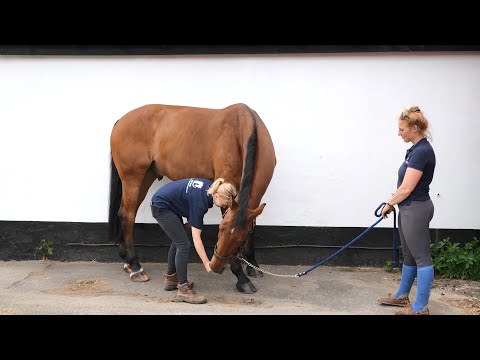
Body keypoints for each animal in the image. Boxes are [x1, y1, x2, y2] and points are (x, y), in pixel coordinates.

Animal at [107, 102, 276, 294]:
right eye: (220, 230)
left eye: (241, 239)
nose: (215, 266)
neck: (242, 129)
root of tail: (121, 120)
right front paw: (241, 277)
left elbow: (252, 226)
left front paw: (252, 265)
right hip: (133, 178)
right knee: (127, 215)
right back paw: (135, 266)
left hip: (146, 177)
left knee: (126, 213)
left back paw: (127, 262)